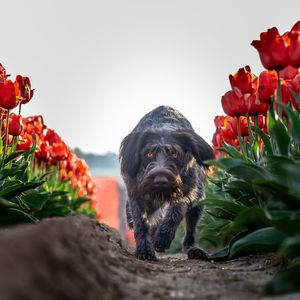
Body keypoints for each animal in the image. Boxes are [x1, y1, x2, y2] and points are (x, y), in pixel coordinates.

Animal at [118, 106, 214, 260]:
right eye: (149, 154)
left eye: (174, 153)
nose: (160, 181)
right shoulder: (137, 194)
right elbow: (140, 223)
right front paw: (144, 250)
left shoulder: (187, 191)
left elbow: (176, 211)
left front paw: (163, 237)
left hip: (198, 202)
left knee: (190, 230)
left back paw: (193, 248)